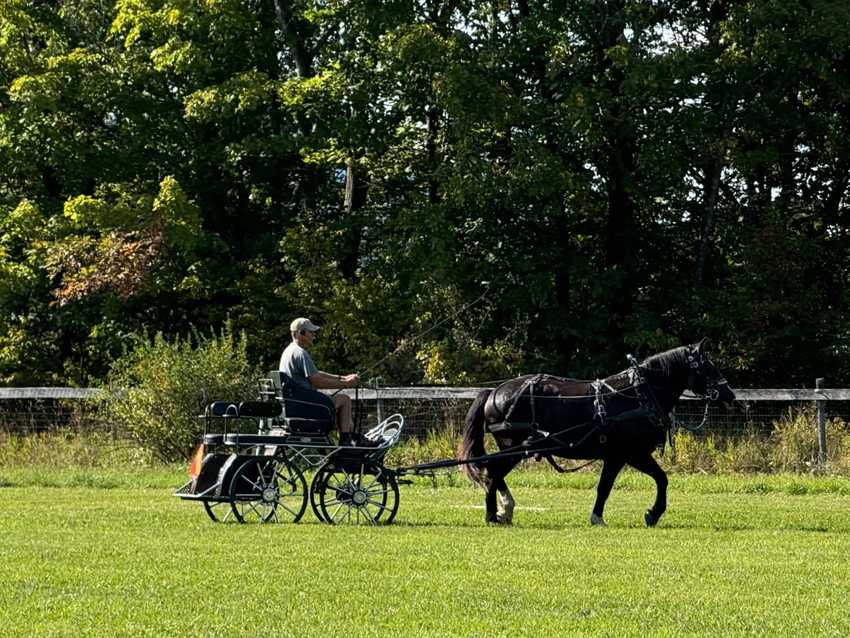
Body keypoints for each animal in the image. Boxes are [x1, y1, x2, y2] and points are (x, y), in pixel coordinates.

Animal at [458, 342, 736, 528]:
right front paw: (650, 513)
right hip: (512, 445)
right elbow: (644, 481)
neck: (638, 395)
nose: (730, 394)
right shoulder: (628, 454)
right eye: (707, 367)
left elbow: (633, 483)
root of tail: (494, 392)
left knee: (493, 472)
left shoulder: (623, 455)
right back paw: (494, 514)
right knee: (492, 472)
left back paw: (504, 511)